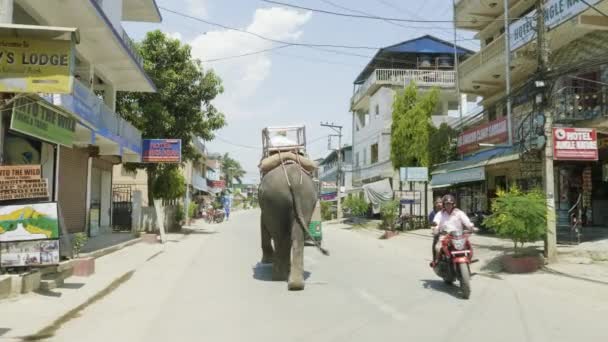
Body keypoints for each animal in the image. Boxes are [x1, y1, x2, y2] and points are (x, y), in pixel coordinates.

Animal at [258, 162, 326, 290]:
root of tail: (293, 178)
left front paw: (267, 261)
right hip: (305, 199)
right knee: (296, 235)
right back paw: (295, 283)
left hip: (274, 199)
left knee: (279, 236)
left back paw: (279, 277)